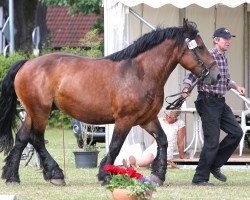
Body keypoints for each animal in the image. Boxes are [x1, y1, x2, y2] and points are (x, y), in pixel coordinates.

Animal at [0, 18, 219, 186]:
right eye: (200, 47)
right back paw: (55, 174)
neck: (140, 72)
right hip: (41, 111)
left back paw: (13, 177)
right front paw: (105, 175)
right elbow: (115, 146)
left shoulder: (147, 119)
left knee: (22, 138)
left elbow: (163, 140)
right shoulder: (125, 120)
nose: (216, 75)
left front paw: (158, 175)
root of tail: (27, 63)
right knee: (36, 139)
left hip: (32, 111)